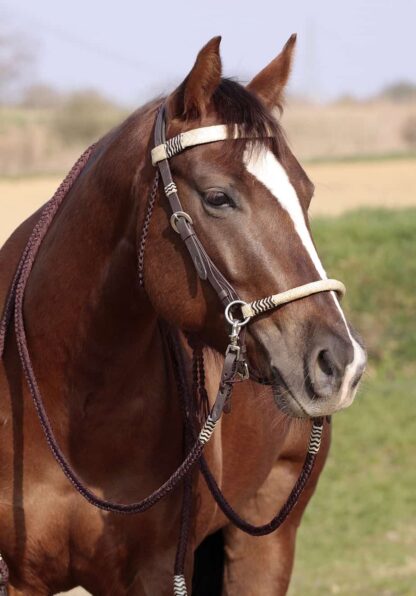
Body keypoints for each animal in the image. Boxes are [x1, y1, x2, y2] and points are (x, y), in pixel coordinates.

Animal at [0, 35, 364, 592]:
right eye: (218, 197)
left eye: (306, 193)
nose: (340, 364)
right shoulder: (19, 579)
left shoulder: (155, 572)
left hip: (268, 542)